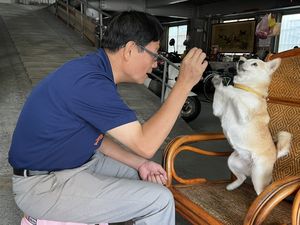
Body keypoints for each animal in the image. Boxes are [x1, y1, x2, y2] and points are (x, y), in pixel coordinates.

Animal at [212, 56, 292, 195]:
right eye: (244, 58)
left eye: (254, 64)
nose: (240, 60)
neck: (246, 89)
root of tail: (275, 155)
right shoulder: (217, 110)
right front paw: (218, 82)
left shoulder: (244, 116)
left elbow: (234, 93)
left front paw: (229, 87)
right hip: (232, 161)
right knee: (242, 178)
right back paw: (232, 186)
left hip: (258, 176)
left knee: (260, 192)